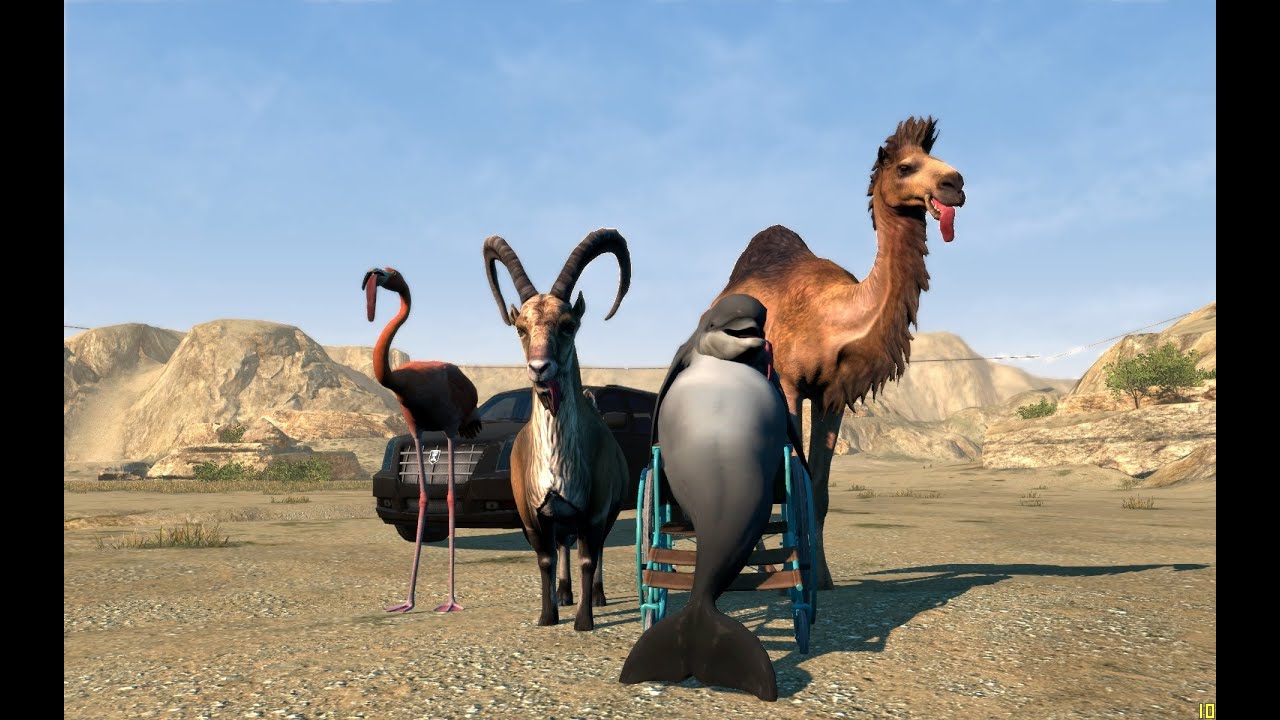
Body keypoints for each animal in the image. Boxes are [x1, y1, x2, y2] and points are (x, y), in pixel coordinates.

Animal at [482, 228, 631, 631]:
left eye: (568, 325)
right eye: (521, 328)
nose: (539, 367)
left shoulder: (595, 509)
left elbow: (589, 558)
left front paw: (584, 621)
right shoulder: (533, 511)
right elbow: (546, 558)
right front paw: (547, 615)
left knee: (595, 549)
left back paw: (596, 595)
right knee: (563, 544)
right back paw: (564, 593)